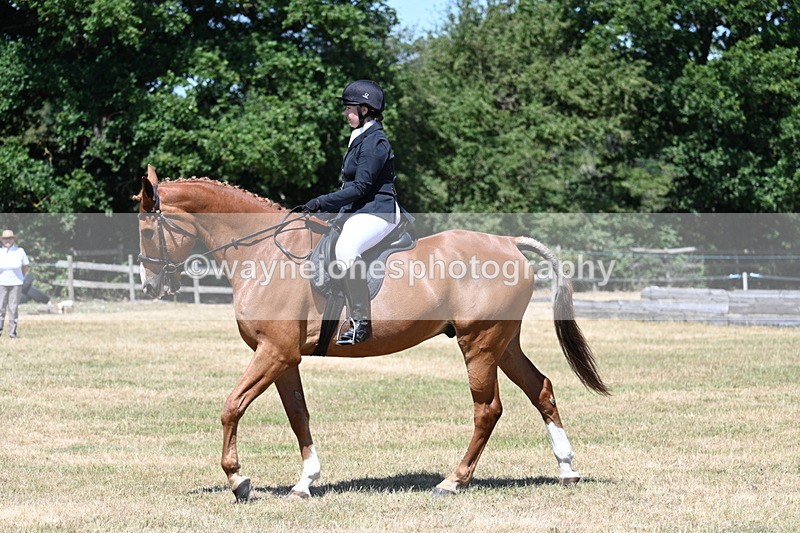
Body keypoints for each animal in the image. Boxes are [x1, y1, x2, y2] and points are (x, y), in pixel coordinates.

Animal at [135, 165, 608, 502]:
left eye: (146, 230)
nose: (150, 287)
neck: (264, 253)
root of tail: (508, 243)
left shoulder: (274, 352)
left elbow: (232, 406)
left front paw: (239, 480)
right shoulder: (285, 357)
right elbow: (298, 415)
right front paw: (305, 482)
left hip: (479, 344)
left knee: (487, 409)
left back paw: (453, 481)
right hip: (503, 344)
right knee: (540, 388)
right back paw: (567, 469)